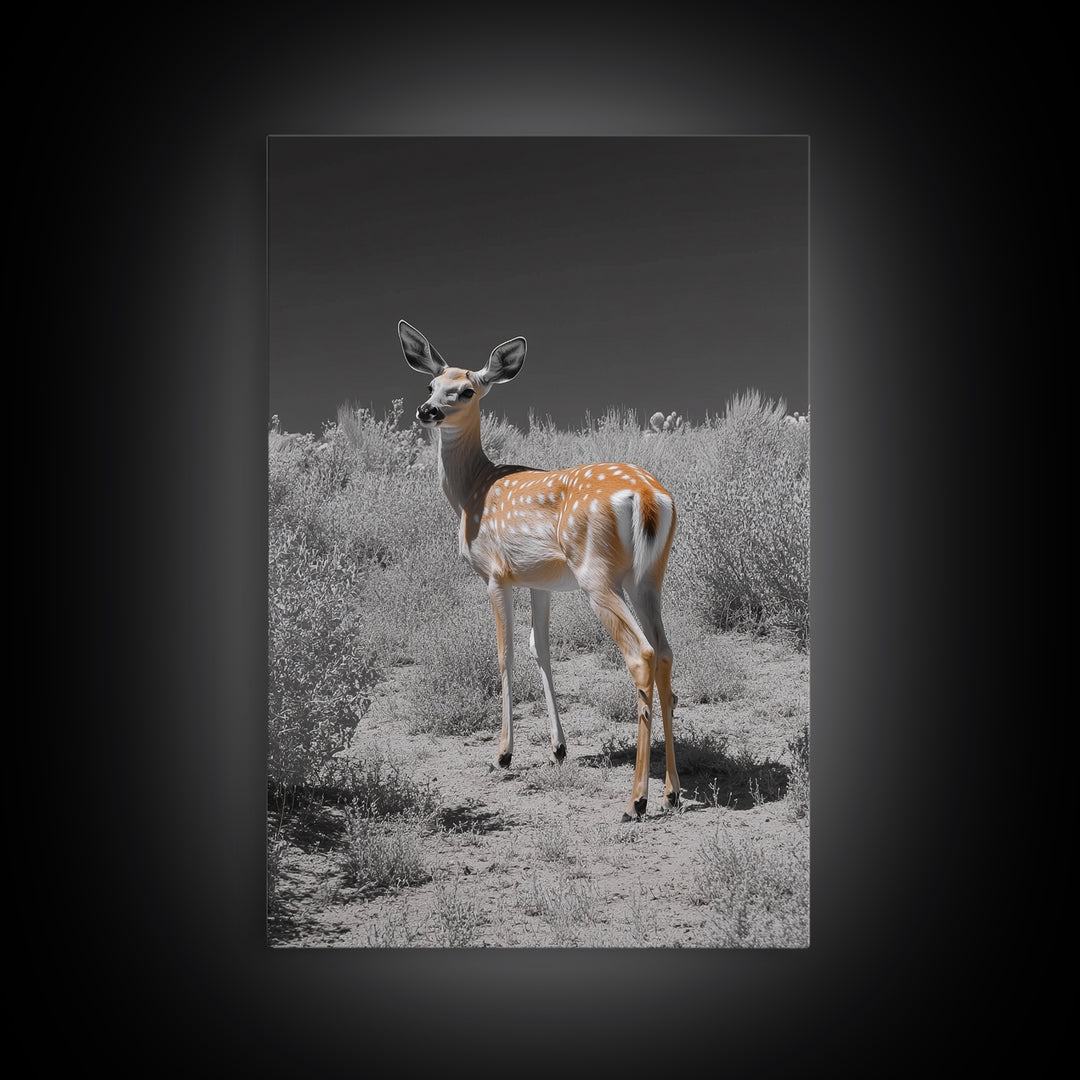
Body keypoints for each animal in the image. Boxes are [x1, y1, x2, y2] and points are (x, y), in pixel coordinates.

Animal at [399, 320, 681, 821]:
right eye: (430, 384)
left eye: (466, 390)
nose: (426, 410)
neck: (471, 491)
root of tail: (649, 496)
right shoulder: (540, 582)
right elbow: (541, 650)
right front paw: (558, 748)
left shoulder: (496, 574)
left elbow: (505, 653)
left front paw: (503, 754)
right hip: (648, 577)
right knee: (665, 651)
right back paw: (672, 792)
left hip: (596, 574)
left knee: (641, 654)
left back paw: (636, 800)